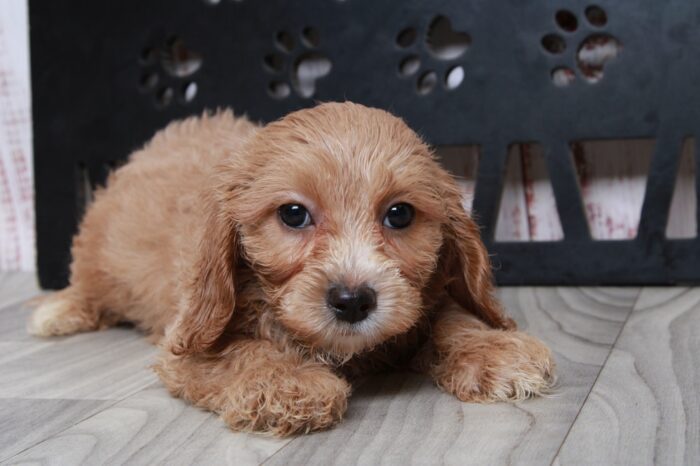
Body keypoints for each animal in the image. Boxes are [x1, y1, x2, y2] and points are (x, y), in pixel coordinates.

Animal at [30, 102, 556, 436]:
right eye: (293, 214)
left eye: (400, 214)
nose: (353, 301)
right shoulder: (187, 337)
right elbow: (243, 352)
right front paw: (288, 382)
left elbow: (453, 317)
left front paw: (494, 351)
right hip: (98, 250)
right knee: (88, 283)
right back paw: (58, 311)